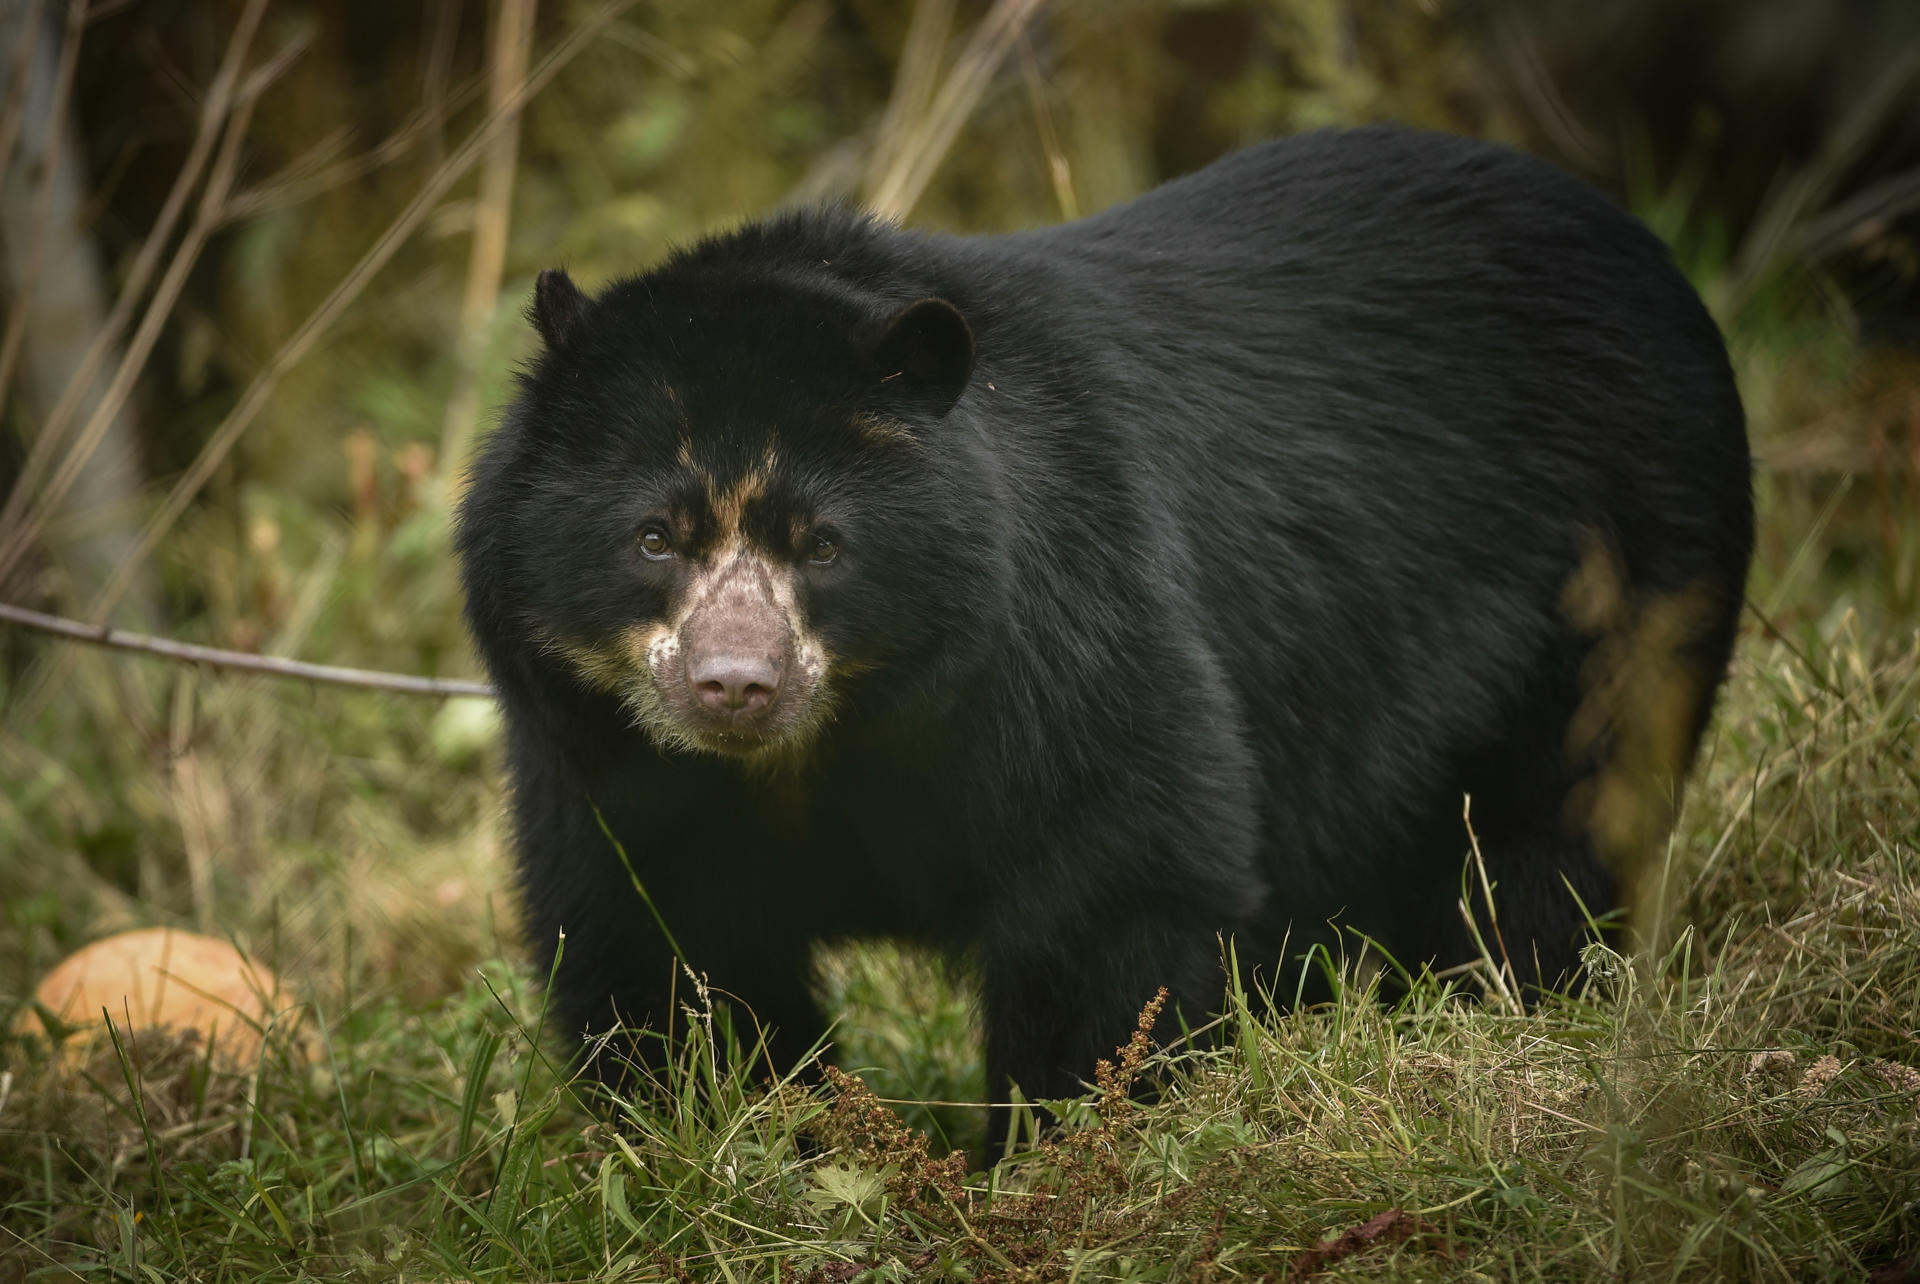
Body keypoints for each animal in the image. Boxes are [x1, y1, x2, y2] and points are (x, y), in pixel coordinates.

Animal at [454, 125, 1753, 1144]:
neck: (832, 740)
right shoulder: (608, 761)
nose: (735, 687)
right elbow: (663, 953)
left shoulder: (1072, 631)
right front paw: (747, 1146)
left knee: (1548, 834)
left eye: (821, 545)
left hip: (1619, 591)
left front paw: (1051, 1156)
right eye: (655, 539)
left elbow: (1117, 889)